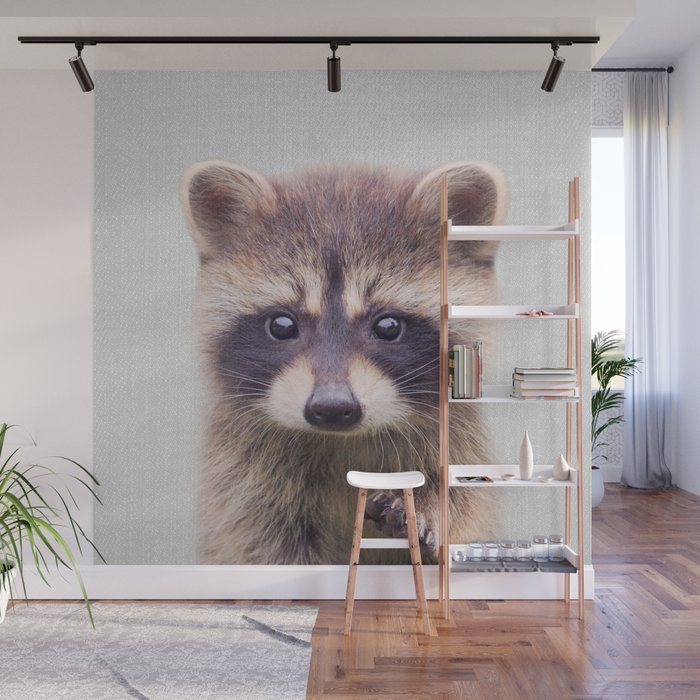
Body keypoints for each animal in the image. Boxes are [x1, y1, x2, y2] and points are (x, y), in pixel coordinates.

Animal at [181, 160, 506, 565]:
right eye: (282, 325)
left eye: (388, 326)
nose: (332, 407)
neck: (344, 440)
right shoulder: (242, 478)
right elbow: (259, 546)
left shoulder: (458, 443)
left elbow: (463, 501)